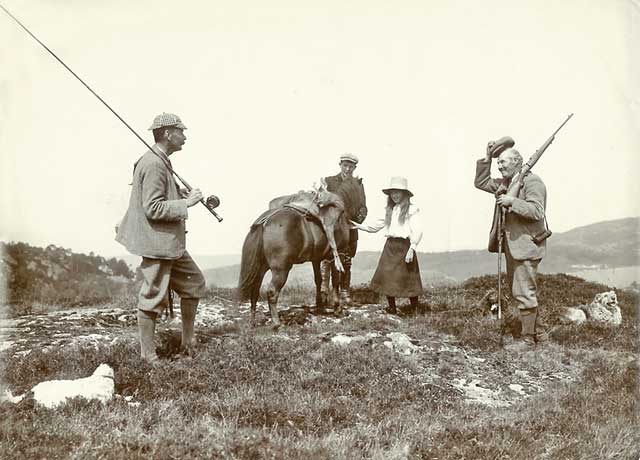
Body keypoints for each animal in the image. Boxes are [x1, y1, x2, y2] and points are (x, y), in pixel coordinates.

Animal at [238, 177, 364, 328]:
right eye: (362, 192)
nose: (363, 214)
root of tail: (264, 222)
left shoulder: (316, 259)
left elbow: (319, 280)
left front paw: (320, 305)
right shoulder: (338, 254)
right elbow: (335, 280)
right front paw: (337, 307)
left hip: (261, 268)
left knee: (255, 291)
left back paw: (252, 321)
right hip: (281, 270)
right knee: (272, 292)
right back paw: (276, 323)